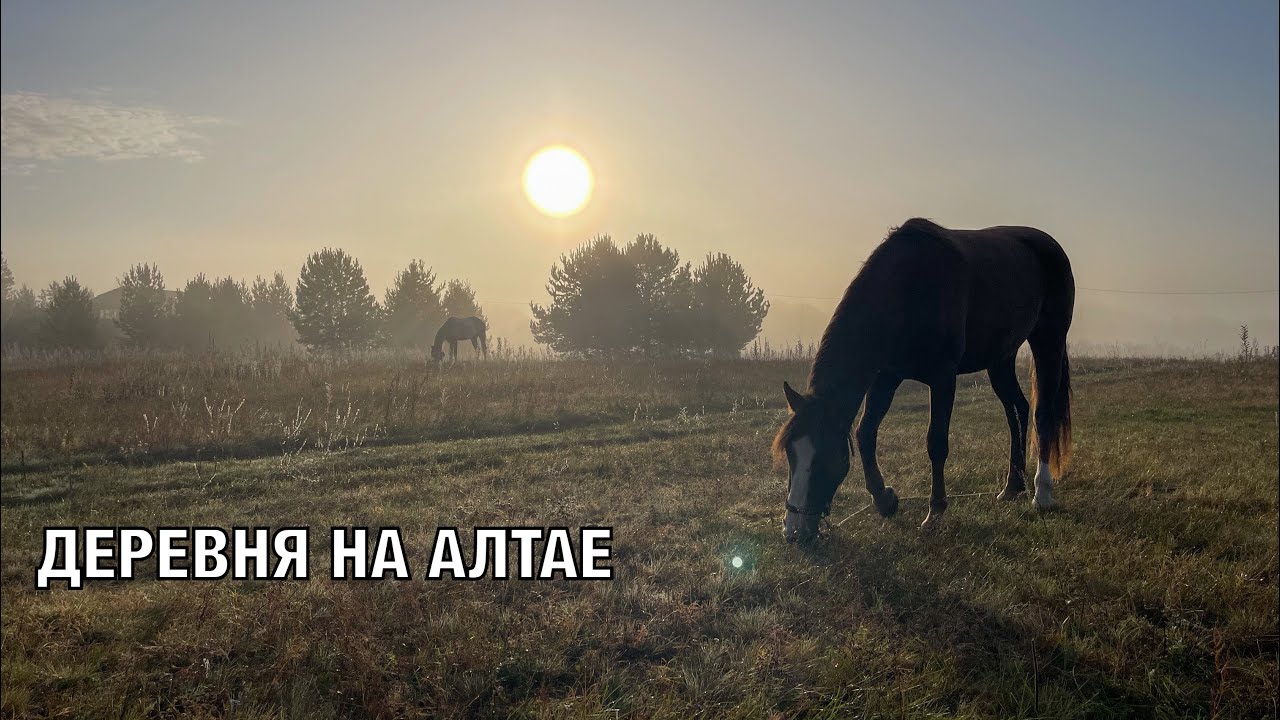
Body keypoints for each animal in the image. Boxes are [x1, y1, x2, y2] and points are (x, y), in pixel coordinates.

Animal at [772, 218, 1074, 543]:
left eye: (825, 457)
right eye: (791, 454)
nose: (793, 531)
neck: (908, 288)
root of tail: (1049, 245)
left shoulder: (943, 378)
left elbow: (936, 442)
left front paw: (935, 512)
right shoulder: (887, 377)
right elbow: (866, 433)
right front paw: (885, 500)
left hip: (1048, 341)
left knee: (1042, 414)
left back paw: (1041, 493)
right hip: (1001, 358)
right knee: (1017, 409)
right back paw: (1012, 486)